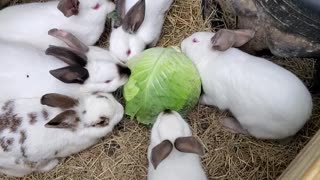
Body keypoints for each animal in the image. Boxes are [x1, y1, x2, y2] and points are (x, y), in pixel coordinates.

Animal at [181, 29, 314, 139]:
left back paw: (226, 122)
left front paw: (198, 100)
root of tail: (301, 122)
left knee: (248, 132)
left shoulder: (215, 97)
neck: (211, 58)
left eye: (195, 40)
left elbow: (207, 100)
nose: (182, 43)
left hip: (251, 123)